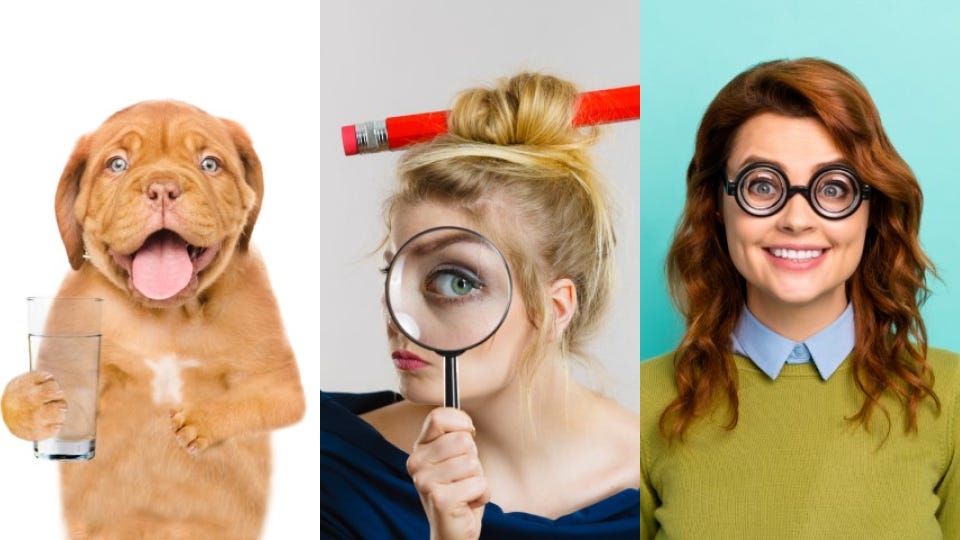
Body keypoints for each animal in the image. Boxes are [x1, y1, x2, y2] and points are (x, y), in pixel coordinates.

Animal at [0, 101, 304, 540]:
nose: (162, 187)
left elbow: (253, 402)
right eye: (117, 164)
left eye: (209, 164)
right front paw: (31, 400)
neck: (168, 317)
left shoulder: (279, 380)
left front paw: (200, 421)